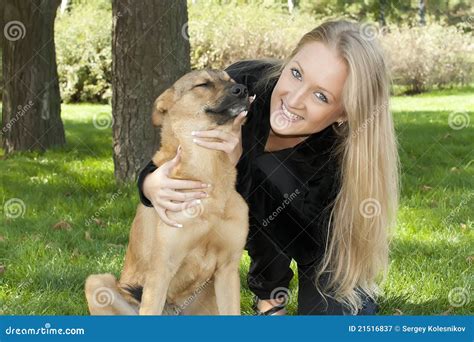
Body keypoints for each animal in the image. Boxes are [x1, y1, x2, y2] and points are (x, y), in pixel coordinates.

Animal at [84, 69, 252, 316]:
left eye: (230, 80)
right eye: (203, 84)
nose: (243, 89)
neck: (209, 175)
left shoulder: (228, 270)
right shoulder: (162, 269)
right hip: (96, 282)